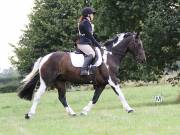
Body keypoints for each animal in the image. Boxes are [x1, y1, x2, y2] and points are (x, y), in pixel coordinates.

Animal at [18, 32, 146, 118]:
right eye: (139, 44)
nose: (143, 60)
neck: (110, 55)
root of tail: (44, 58)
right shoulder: (112, 80)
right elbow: (120, 94)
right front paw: (129, 109)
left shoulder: (101, 84)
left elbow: (95, 98)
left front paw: (84, 111)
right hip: (46, 82)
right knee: (38, 96)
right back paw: (30, 114)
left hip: (60, 82)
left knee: (62, 97)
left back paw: (72, 113)